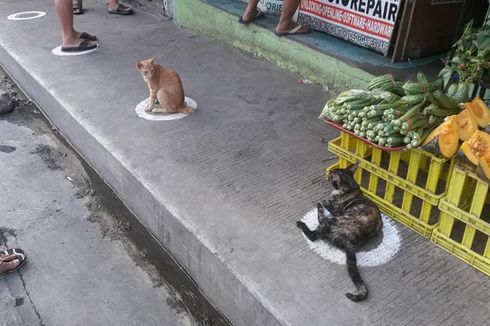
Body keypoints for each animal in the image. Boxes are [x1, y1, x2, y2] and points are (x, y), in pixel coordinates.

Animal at [294, 164, 382, 302]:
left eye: (331, 176)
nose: (327, 174)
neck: (349, 187)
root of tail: (350, 241)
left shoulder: (335, 209)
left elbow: (327, 202)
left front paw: (323, 201)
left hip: (333, 220)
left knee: (314, 233)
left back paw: (305, 219)